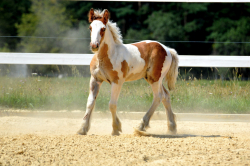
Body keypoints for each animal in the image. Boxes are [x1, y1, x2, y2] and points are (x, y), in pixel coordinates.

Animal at [77, 8, 179, 136]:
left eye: (103, 29)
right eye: (90, 27)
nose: (94, 45)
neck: (107, 57)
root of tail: (167, 49)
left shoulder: (117, 82)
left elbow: (112, 104)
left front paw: (116, 128)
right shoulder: (95, 80)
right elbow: (90, 103)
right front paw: (82, 128)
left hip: (155, 79)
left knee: (158, 97)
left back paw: (141, 126)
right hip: (155, 79)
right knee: (166, 96)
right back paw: (172, 127)